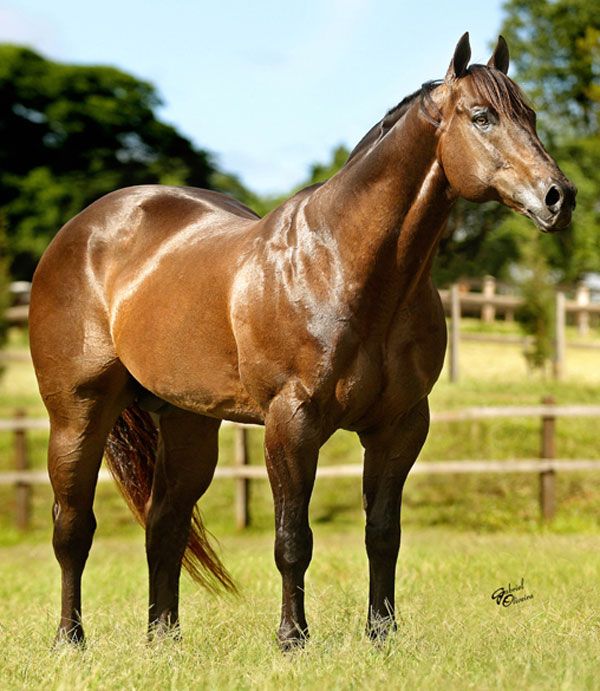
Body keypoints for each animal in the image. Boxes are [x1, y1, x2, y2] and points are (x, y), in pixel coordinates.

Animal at [29, 33, 576, 649]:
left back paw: (163, 639)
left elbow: (383, 534)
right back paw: (70, 639)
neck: (340, 265)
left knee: (164, 526)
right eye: (482, 116)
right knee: (73, 527)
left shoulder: (401, 426)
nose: (559, 196)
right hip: (77, 415)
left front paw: (381, 634)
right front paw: (293, 637)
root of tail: (82, 230)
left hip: (188, 422)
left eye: (531, 116)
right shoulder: (292, 425)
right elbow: (293, 539)